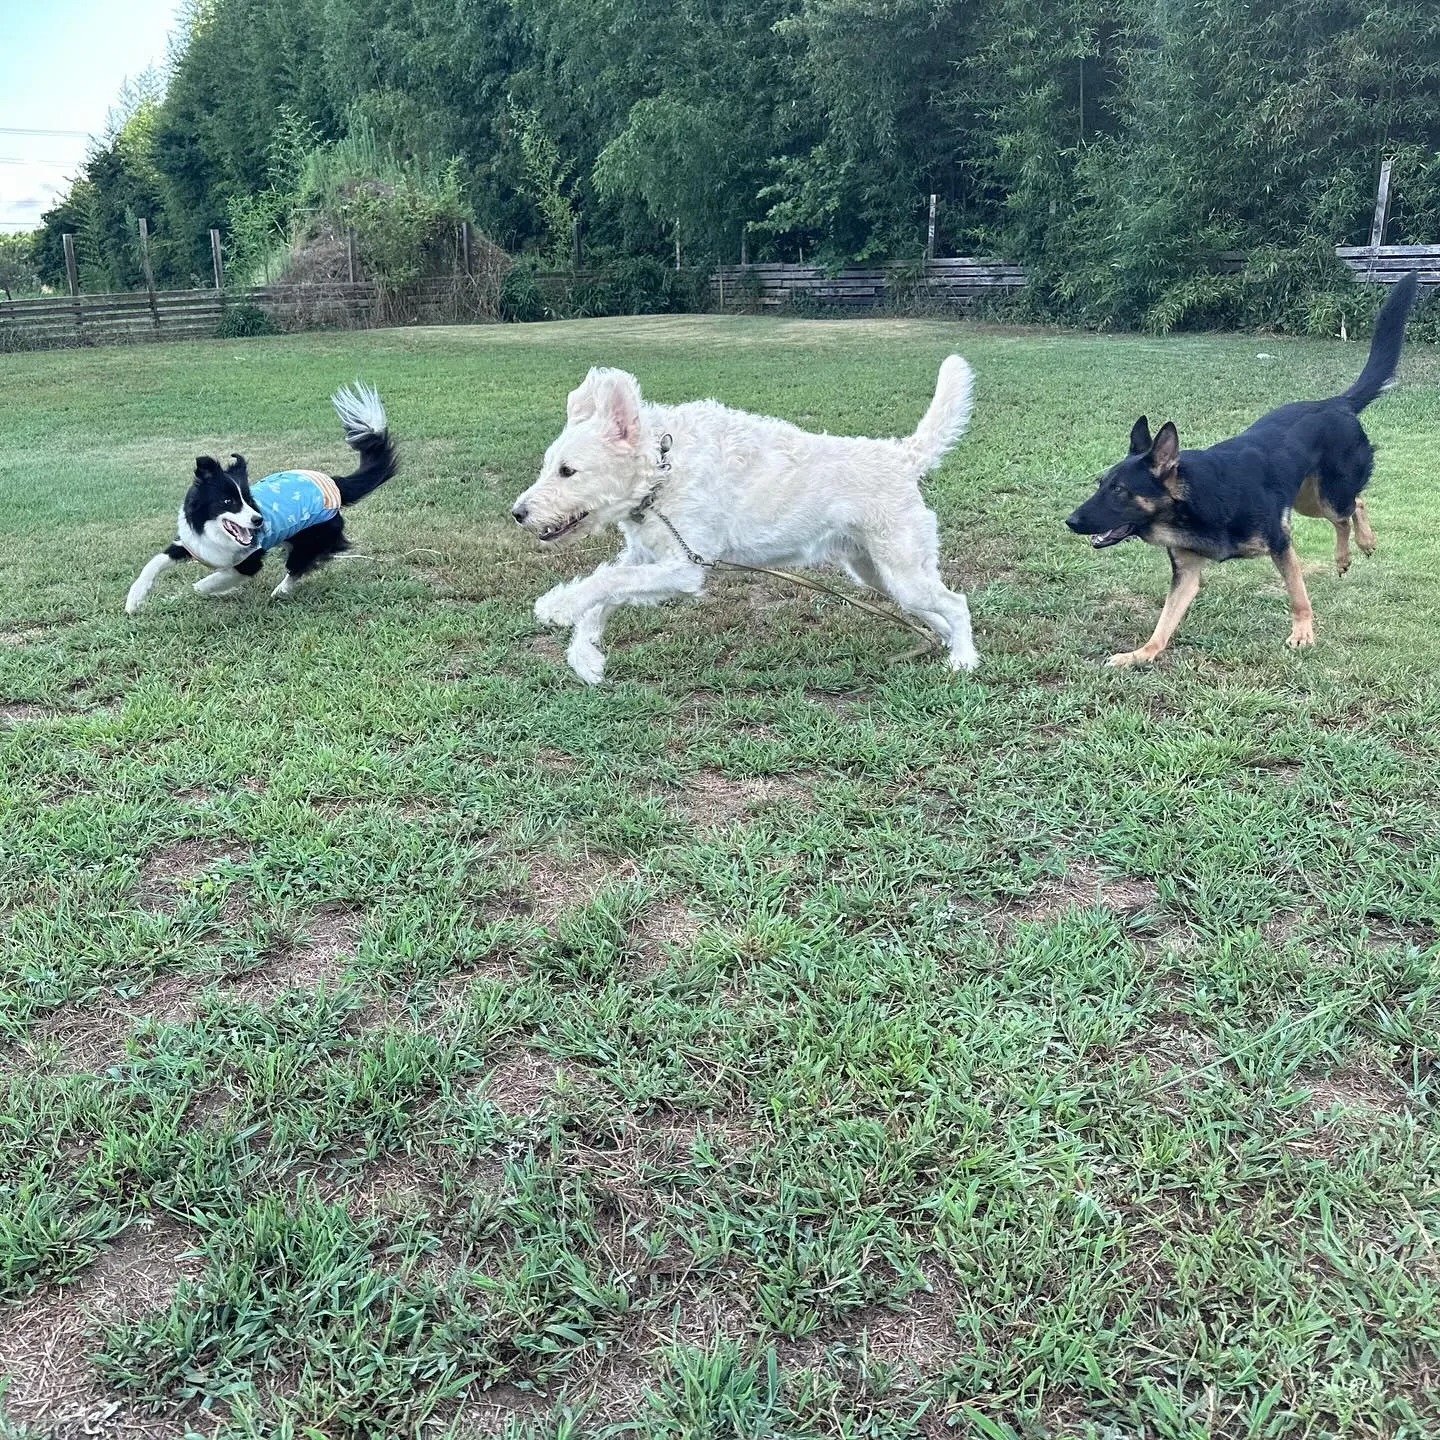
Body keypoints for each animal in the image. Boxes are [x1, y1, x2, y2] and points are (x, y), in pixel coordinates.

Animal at [512, 352, 984, 679]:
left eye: (567, 471)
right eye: (548, 466)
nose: (518, 513)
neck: (664, 470)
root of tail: (903, 457)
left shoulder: (684, 568)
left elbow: (606, 582)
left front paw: (557, 607)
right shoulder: (646, 557)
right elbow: (606, 589)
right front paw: (585, 655)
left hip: (901, 572)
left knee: (957, 604)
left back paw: (963, 659)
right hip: (880, 573)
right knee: (936, 610)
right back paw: (946, 645)